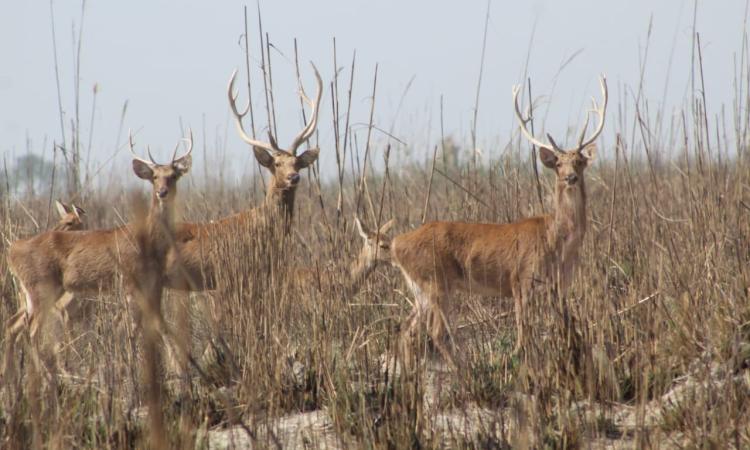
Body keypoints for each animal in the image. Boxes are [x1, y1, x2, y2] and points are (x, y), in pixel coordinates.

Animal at [4, 132, 192, 382]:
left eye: (173, 175)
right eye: (154, 176)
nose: (162, 192)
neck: (150, 241)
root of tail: (11, 251)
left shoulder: (153, 284)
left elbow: (158, 324)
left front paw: (177, 368)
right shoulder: (130, 282)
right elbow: (131, 328)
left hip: (32, 293)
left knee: (13, 325)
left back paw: (11, 375)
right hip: (41, 287)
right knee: (31, 330)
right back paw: (47, 375)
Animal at [390, 76, 608, 366]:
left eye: (580, 161)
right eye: (559, 163)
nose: (570, 177)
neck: (557, 241)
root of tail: (396, 243)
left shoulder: (560, 284)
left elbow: (566, 325)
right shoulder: (522, 278)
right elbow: (523, 334)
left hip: (420, 288)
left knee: (406, 329)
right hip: (436, 281)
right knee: (435, 332)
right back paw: (462, 368)